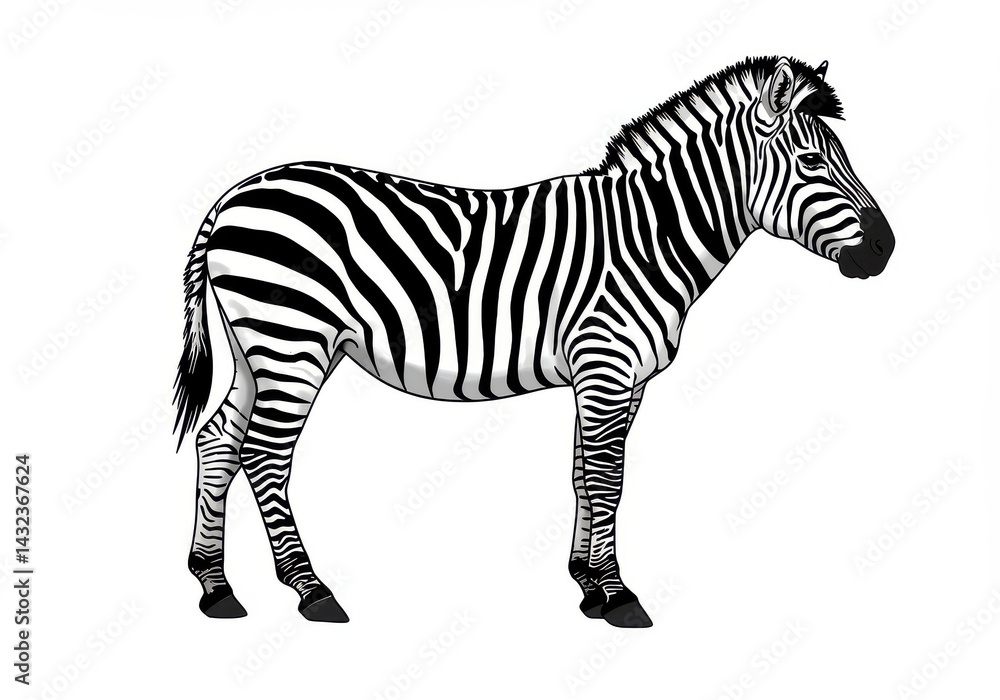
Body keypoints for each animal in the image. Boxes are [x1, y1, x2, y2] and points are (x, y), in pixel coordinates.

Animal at [174, 56, 894, 628]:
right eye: (812, 161)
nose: (886, 251)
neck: (648, 237)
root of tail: (232, 197)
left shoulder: (615, 377)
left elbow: (583, 475)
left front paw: (587, 584)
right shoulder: (606, 363)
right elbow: (608, 479)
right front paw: (619, 595)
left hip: (255, 345)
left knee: (218, 441)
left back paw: (215, 585)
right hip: (293, 337)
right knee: (264, 455)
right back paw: (311, 590)